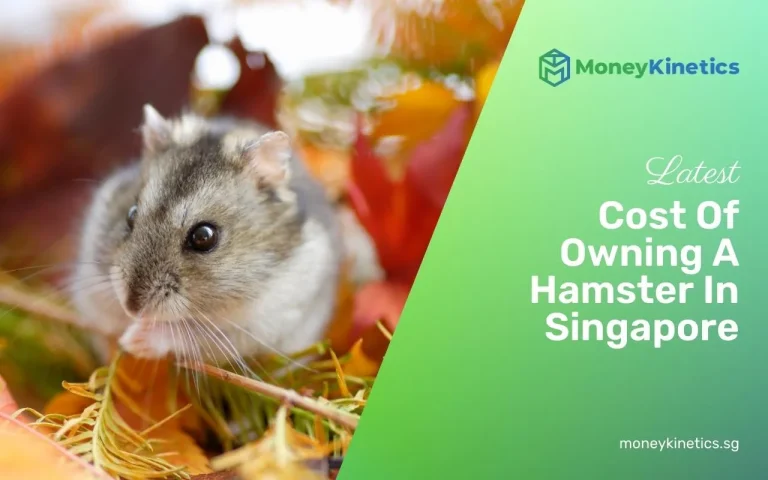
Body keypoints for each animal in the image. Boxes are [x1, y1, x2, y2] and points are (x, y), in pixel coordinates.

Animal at [70, 105, 343, 365]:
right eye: (131, 214)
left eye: (203, 236)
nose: (133, 310)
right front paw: (119, 337)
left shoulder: (256, 326)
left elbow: (191, 335)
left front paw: (133, 339)